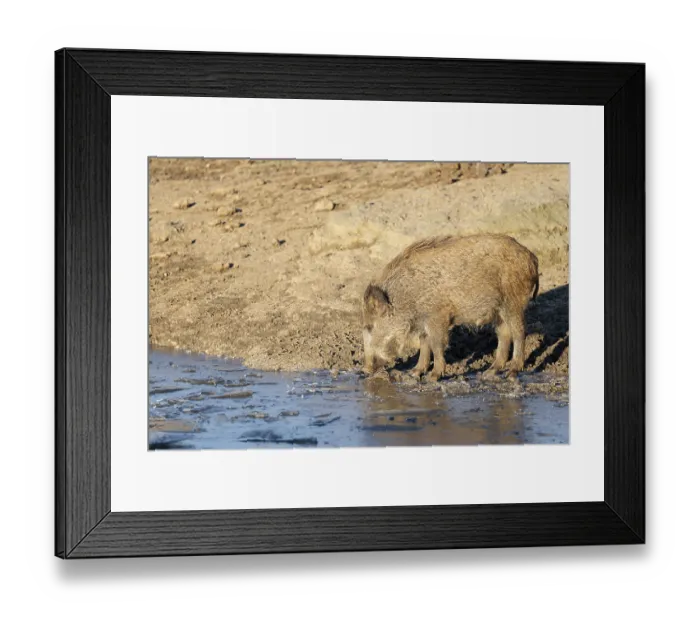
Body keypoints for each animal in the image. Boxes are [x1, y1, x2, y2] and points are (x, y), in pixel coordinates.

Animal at [361, 234, 539, 381]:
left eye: (370, 326)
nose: (365, 370)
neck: (406, 296)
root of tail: (531, 256)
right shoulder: (424, 321)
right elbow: (424, 343)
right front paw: (414, 373)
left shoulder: (437, 315)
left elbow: (436, 344)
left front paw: (433, 377)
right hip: (499, 311)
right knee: (504, 334)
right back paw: (489, 372)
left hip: (513, 302)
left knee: (519, 333)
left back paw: (512, 373)